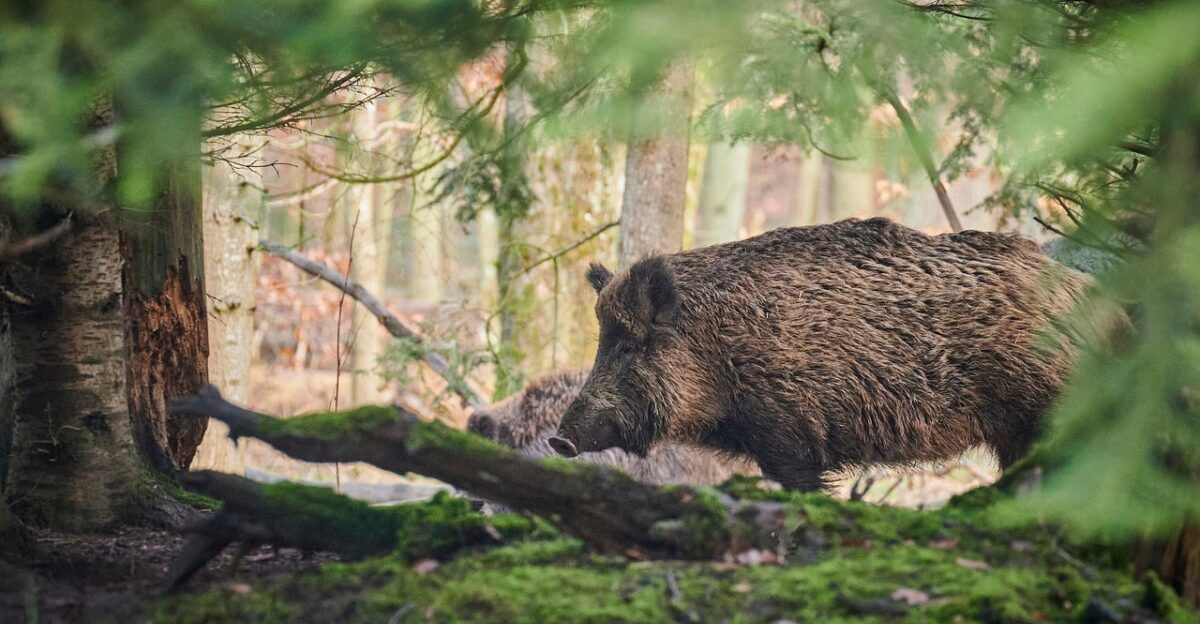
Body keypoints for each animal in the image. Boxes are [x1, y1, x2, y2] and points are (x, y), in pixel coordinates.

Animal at [550, 217, 1093, 491]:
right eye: (603, 341)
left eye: (628, 344)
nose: (559, 440)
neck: (717, 352)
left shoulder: (790, 433)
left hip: (1048, 411)